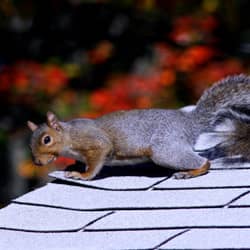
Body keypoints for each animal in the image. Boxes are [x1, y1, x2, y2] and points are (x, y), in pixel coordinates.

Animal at [26, 74, 250, 180]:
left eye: (47, 139)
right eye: (30, 144)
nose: (37, 162)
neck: (69, 136)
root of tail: (190, 123)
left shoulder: (95, 142)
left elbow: (96, 161)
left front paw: (82, 175)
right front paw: (73, 167)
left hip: (164, 149)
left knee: (204, 162)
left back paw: (191, 172)